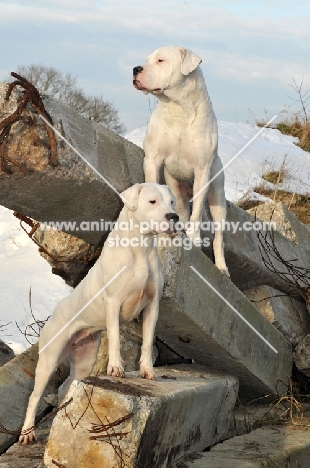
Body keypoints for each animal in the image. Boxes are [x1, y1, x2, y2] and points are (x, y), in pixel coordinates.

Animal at [19, 182, 178, 442]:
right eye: (153, 201)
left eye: (172, 202)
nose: (174, 217)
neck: (140, 248)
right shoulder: (113, 302)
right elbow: (114, 337)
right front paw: (115, 368)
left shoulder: (153, 306)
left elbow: (146, 342)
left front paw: (147, 370)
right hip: (49, 359)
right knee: (34, 397)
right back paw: (27, 433)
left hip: (84, 361)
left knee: (66, 387)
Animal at [133, 45, 230, 276]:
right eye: (147, 60)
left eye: (160, 60)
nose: (135, 69)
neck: (178, 109)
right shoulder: (153, 159)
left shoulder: (202, 171)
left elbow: (197, 218)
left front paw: (194, 240)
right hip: (178, 192)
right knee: (183, 212)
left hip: (217, 198)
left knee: (218, 236)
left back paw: (222, 267)